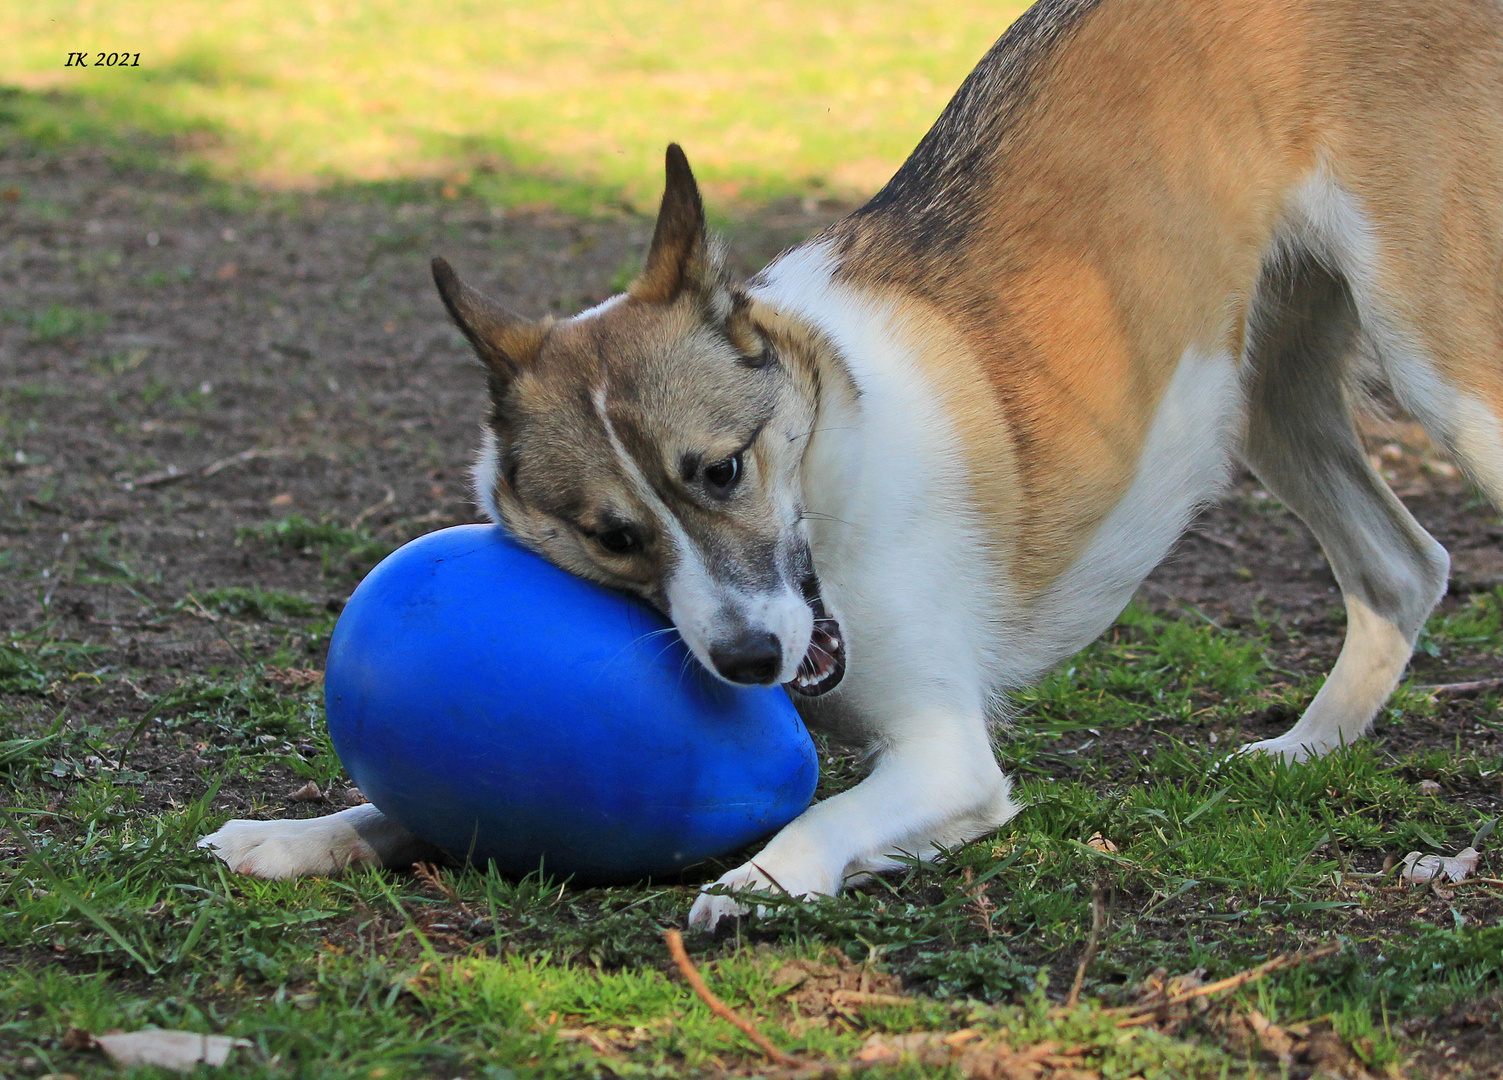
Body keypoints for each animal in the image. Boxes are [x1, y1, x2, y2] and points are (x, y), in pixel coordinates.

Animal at [205, 0, 1503, 931]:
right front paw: (308, 831)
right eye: (613, 535)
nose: (745, 660)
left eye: (722, 471)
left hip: (1444, 369)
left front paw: (762, 879)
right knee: (1403, 566)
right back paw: (1301, 752)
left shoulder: (946, 756)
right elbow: (409, 805)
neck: (830, 462)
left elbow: (829, 818)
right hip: (1262, 388)